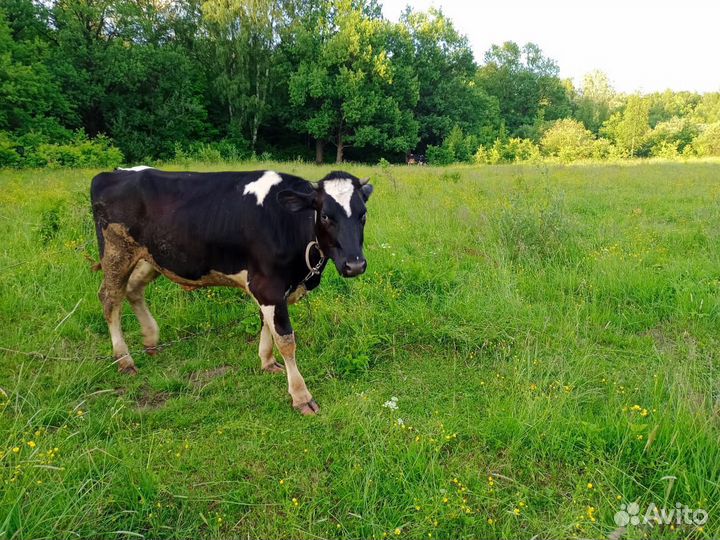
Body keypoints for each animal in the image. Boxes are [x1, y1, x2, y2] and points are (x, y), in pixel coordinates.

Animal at [90, 167, 374, 416]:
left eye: (363, 215)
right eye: (325, 215)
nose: (355, 265)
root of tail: (113, 173)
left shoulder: (270, 289)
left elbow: (266, 325)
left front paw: (267, 362)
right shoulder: (268, 286)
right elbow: (286, 340)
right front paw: (301, 396)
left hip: (152, 256)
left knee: (133, 289)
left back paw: (150, 339)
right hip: (116, 252)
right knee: (110, 299)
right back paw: (124, 359)